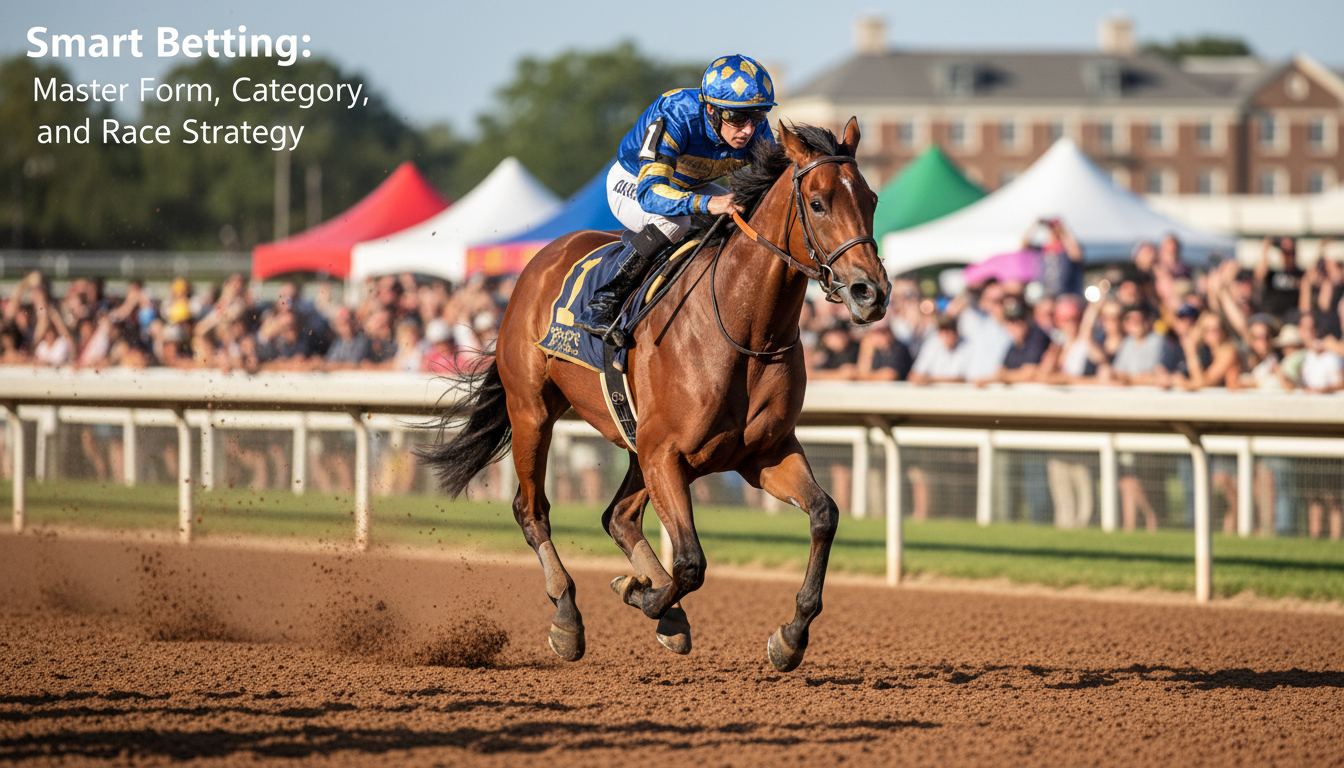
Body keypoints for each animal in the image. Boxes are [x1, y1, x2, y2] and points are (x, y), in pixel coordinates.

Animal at [419, 118, 889, 672]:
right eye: (817, 203)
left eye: (872, 199)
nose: (871, 293)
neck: (745, 331)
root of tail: (540, 261)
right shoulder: (666, 452)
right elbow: (690, 563)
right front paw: (639, 593)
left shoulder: (762, 453)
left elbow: (824, 515)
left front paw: (790, 635)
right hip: (532, 410)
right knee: (532, 510)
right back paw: (568, 618)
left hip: (634, 439)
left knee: (618, 516)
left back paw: (663, 611)